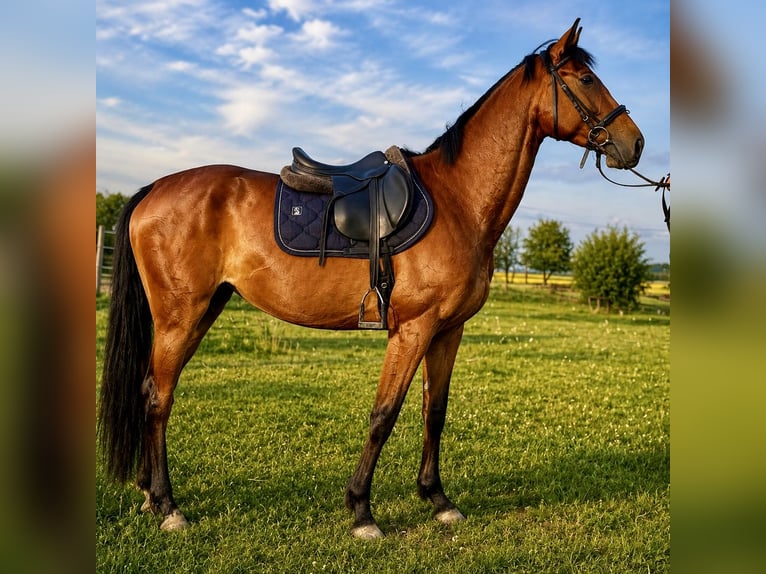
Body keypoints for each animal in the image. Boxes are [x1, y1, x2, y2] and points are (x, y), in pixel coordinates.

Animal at [98, 19, 644, 539]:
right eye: (586, 79)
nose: (635, 143)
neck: (458, 199)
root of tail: (154, 189)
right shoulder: (413, 328)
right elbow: (385, 413)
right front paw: (362, 511)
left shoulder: (448, 330)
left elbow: (434, 410)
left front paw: (438, 500)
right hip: (180, 315)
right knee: (158, 397)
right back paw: (168, 507)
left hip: (204, 310)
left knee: (151, 390)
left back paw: (149, 495)